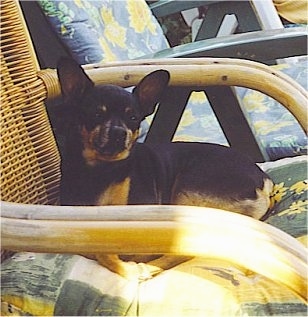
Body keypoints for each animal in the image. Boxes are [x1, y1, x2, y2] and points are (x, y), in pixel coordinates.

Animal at [58, 58, 274, 278]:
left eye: (133, 118)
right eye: (95, 114)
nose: (119, 132)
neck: (101, 170)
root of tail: (263, 181)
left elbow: (104, 251)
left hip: (185, 193)